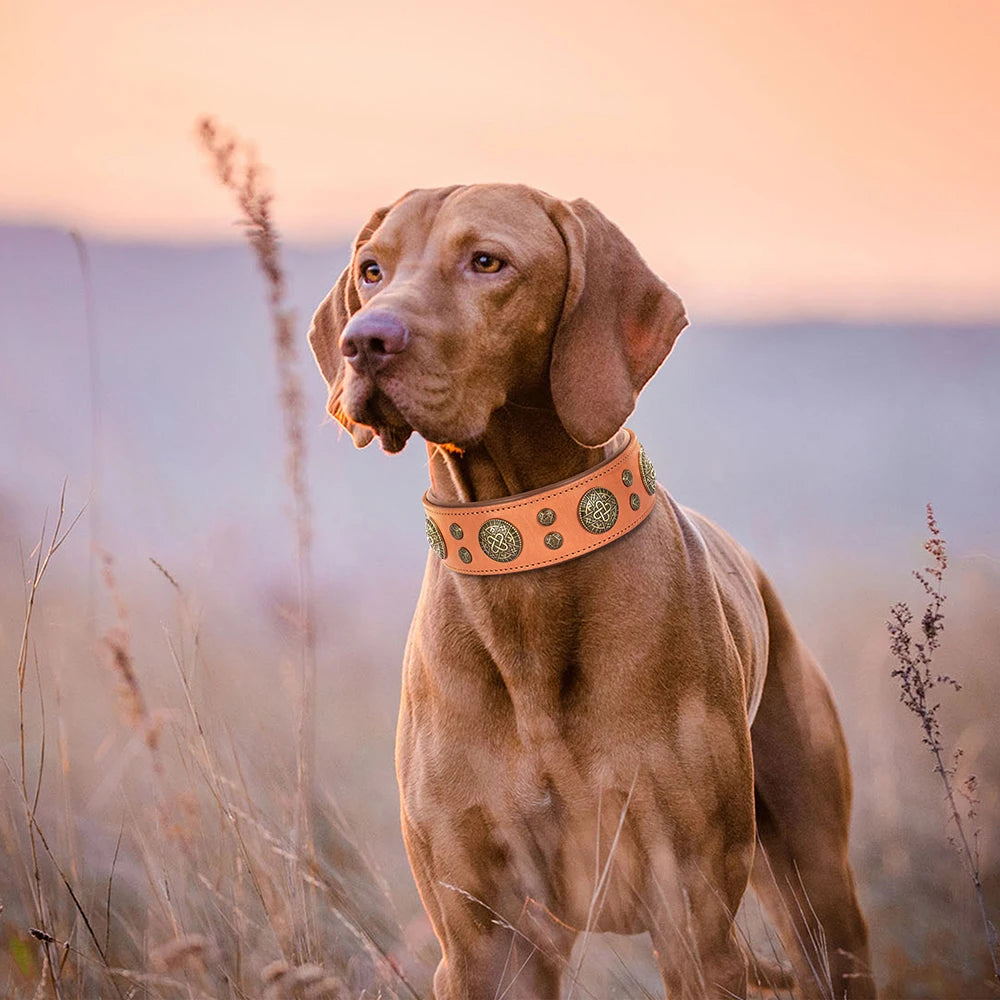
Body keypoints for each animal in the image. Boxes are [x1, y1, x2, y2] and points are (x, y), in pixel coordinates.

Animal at [306, 184, 876, 996]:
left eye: (487, 262)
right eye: (372, 269)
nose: (364, 341)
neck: (526, 563)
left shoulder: (692, 916)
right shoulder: (483, 938)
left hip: (819, 892)